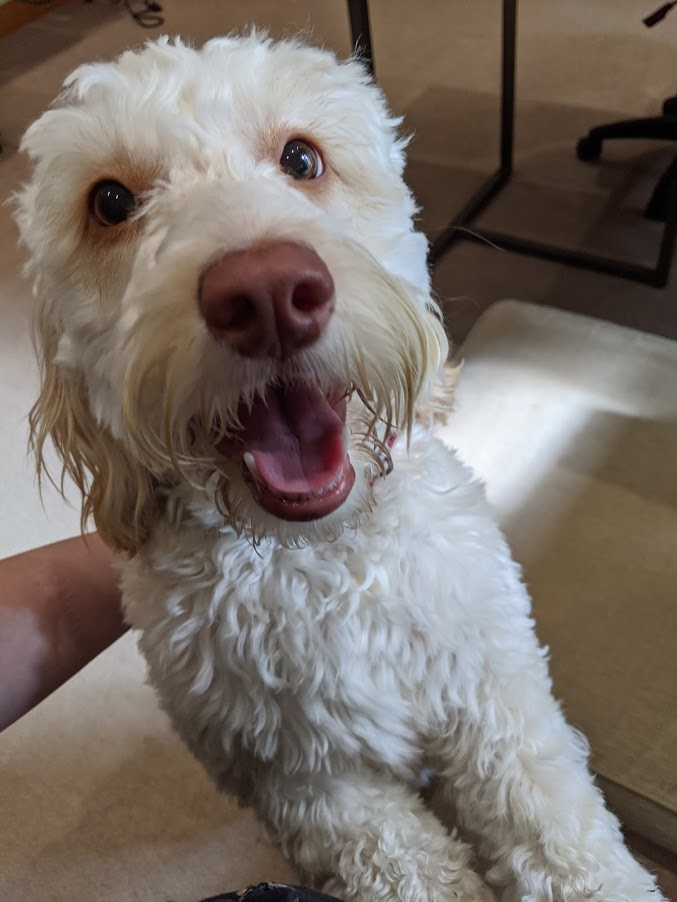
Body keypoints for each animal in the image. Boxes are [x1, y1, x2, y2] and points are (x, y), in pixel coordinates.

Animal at [17, 31, 664, 900]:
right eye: (110, 203)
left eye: (301, 157)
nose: (265, 292)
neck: (323, 555)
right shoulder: (310, 783)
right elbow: (408, 864)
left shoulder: (495, 697)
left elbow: (560, 832)